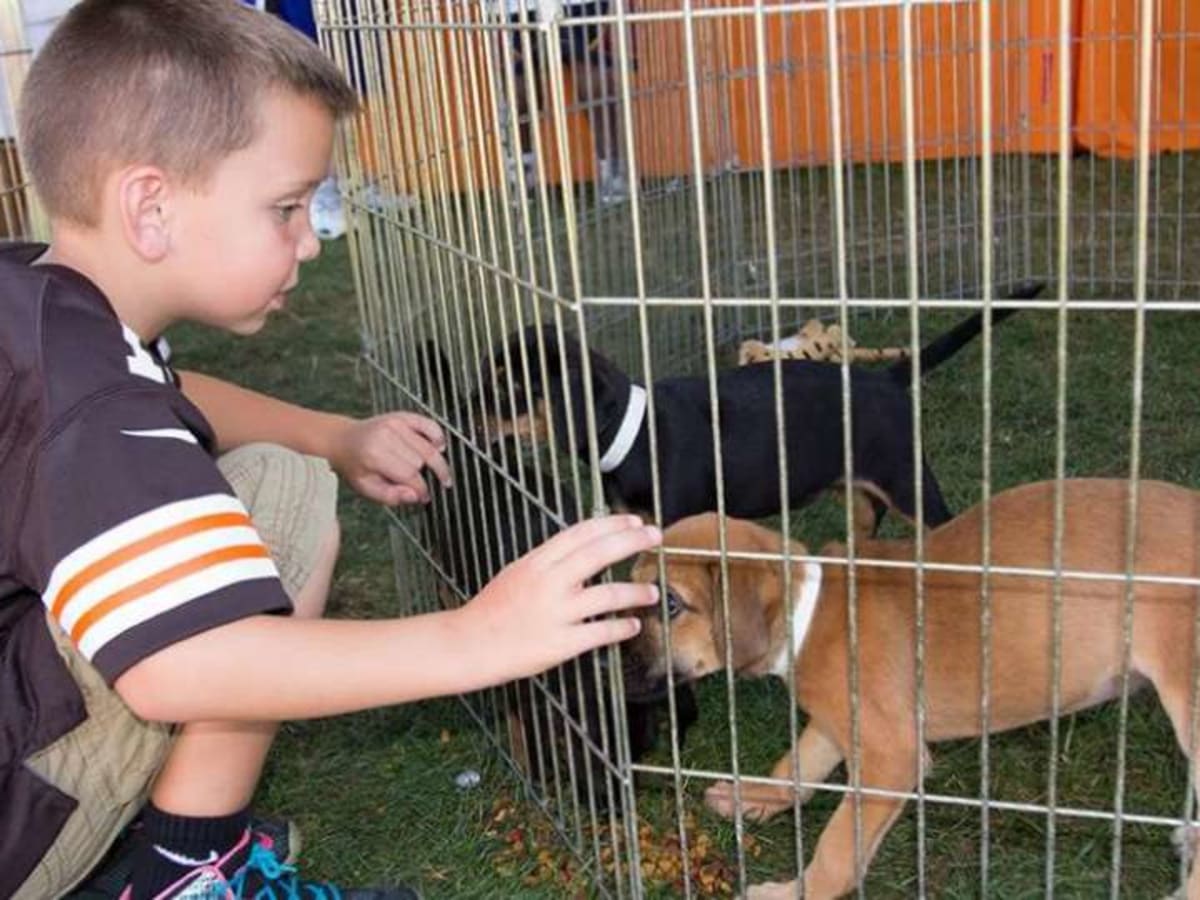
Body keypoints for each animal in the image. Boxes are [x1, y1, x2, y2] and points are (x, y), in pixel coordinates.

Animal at [475, 285, 1041, 532]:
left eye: (510, 387)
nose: (463, 415)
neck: (633, 436)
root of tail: (885, 378)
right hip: (856, 490)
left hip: (907, 481)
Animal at [624, 482, 1200, 900]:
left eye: (670, 603)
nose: (616, 662)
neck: (810, 610)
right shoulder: (839, 723)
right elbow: (798, 765)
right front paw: (755, 798)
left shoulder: (890, 757)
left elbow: (838, 848)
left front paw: (792, 893)